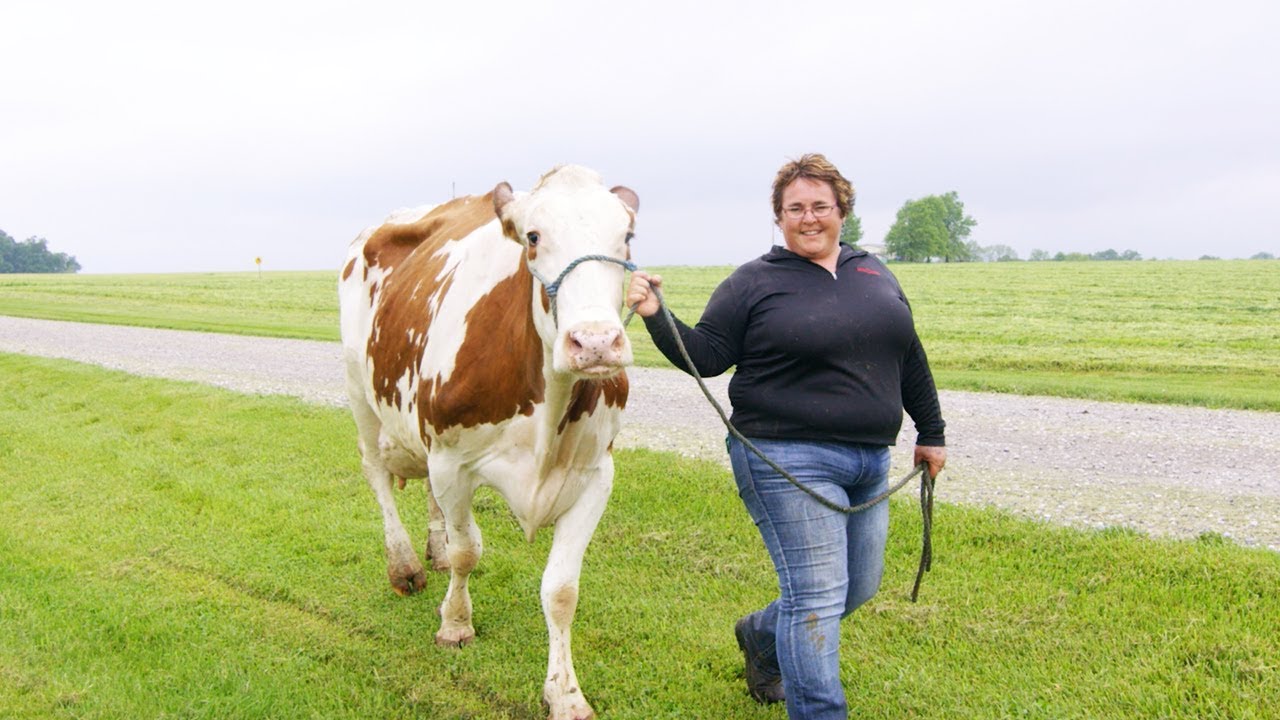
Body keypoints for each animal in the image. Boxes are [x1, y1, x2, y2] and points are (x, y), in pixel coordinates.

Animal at [337, 165, 637, 712]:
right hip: (360, 393)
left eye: (626, 236)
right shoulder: (453, 463)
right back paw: (404, 565)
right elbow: (467, 552)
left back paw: (430, 550)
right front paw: (455, 625)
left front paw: (565, 693)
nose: (596, 342)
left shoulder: (595, 476)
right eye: (533, 237)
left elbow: (562, 590)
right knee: (377, 476)